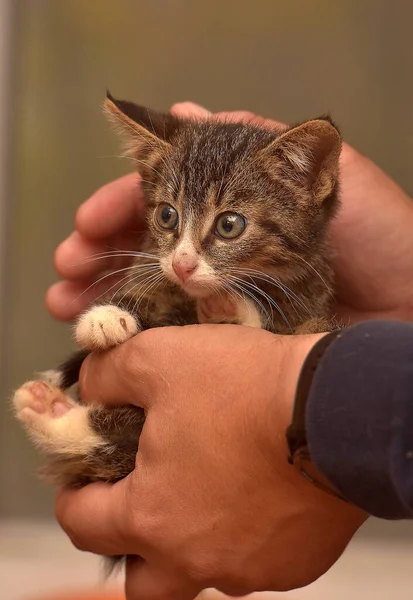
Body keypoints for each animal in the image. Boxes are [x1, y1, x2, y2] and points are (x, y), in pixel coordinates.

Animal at [12, 94, 342, 564]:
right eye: (168, 216)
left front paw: (231, 304)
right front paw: (107, 315)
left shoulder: (310, 309)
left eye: (229, 225)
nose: (184, 264)